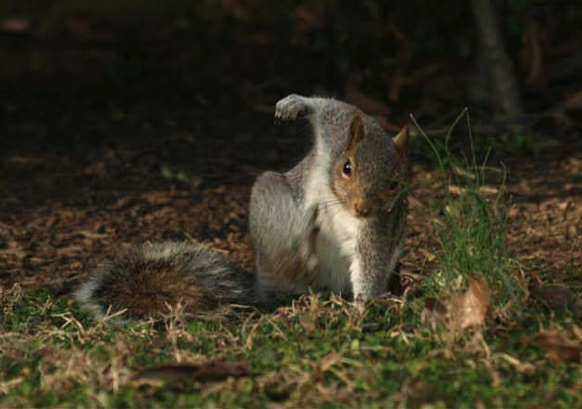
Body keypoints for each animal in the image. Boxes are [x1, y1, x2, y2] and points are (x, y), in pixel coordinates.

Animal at [74, 93, 410, 318]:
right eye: (347, 167)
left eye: (395, 183)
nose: (362, 208)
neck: (340, 201)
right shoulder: (336, 132)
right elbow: (331, 107)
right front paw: (295, 104)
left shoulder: (379, 226)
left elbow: (371, 260)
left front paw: (365, 305)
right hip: (269, 198)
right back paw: (297, 259)